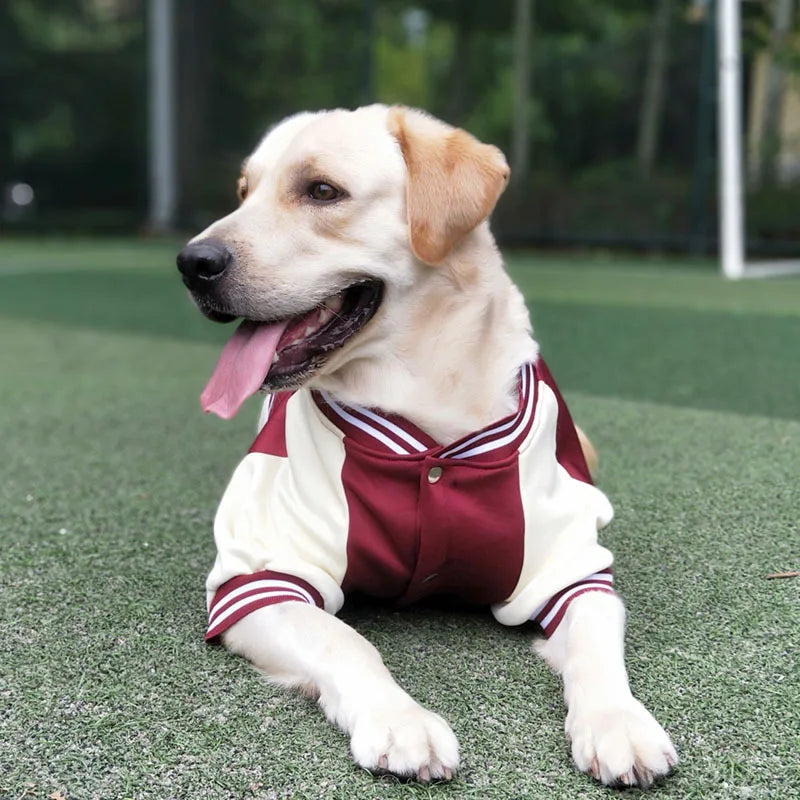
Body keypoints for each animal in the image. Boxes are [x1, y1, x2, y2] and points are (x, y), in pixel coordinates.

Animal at [178, 104, 680, 788]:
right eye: (243, 192)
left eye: (322, 191)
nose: (191, 263)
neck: (428, 412)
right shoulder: (261, 579)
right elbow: (345, 640)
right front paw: (402, 722)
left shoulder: (570, 571)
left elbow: (598, 642)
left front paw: (619, 724)